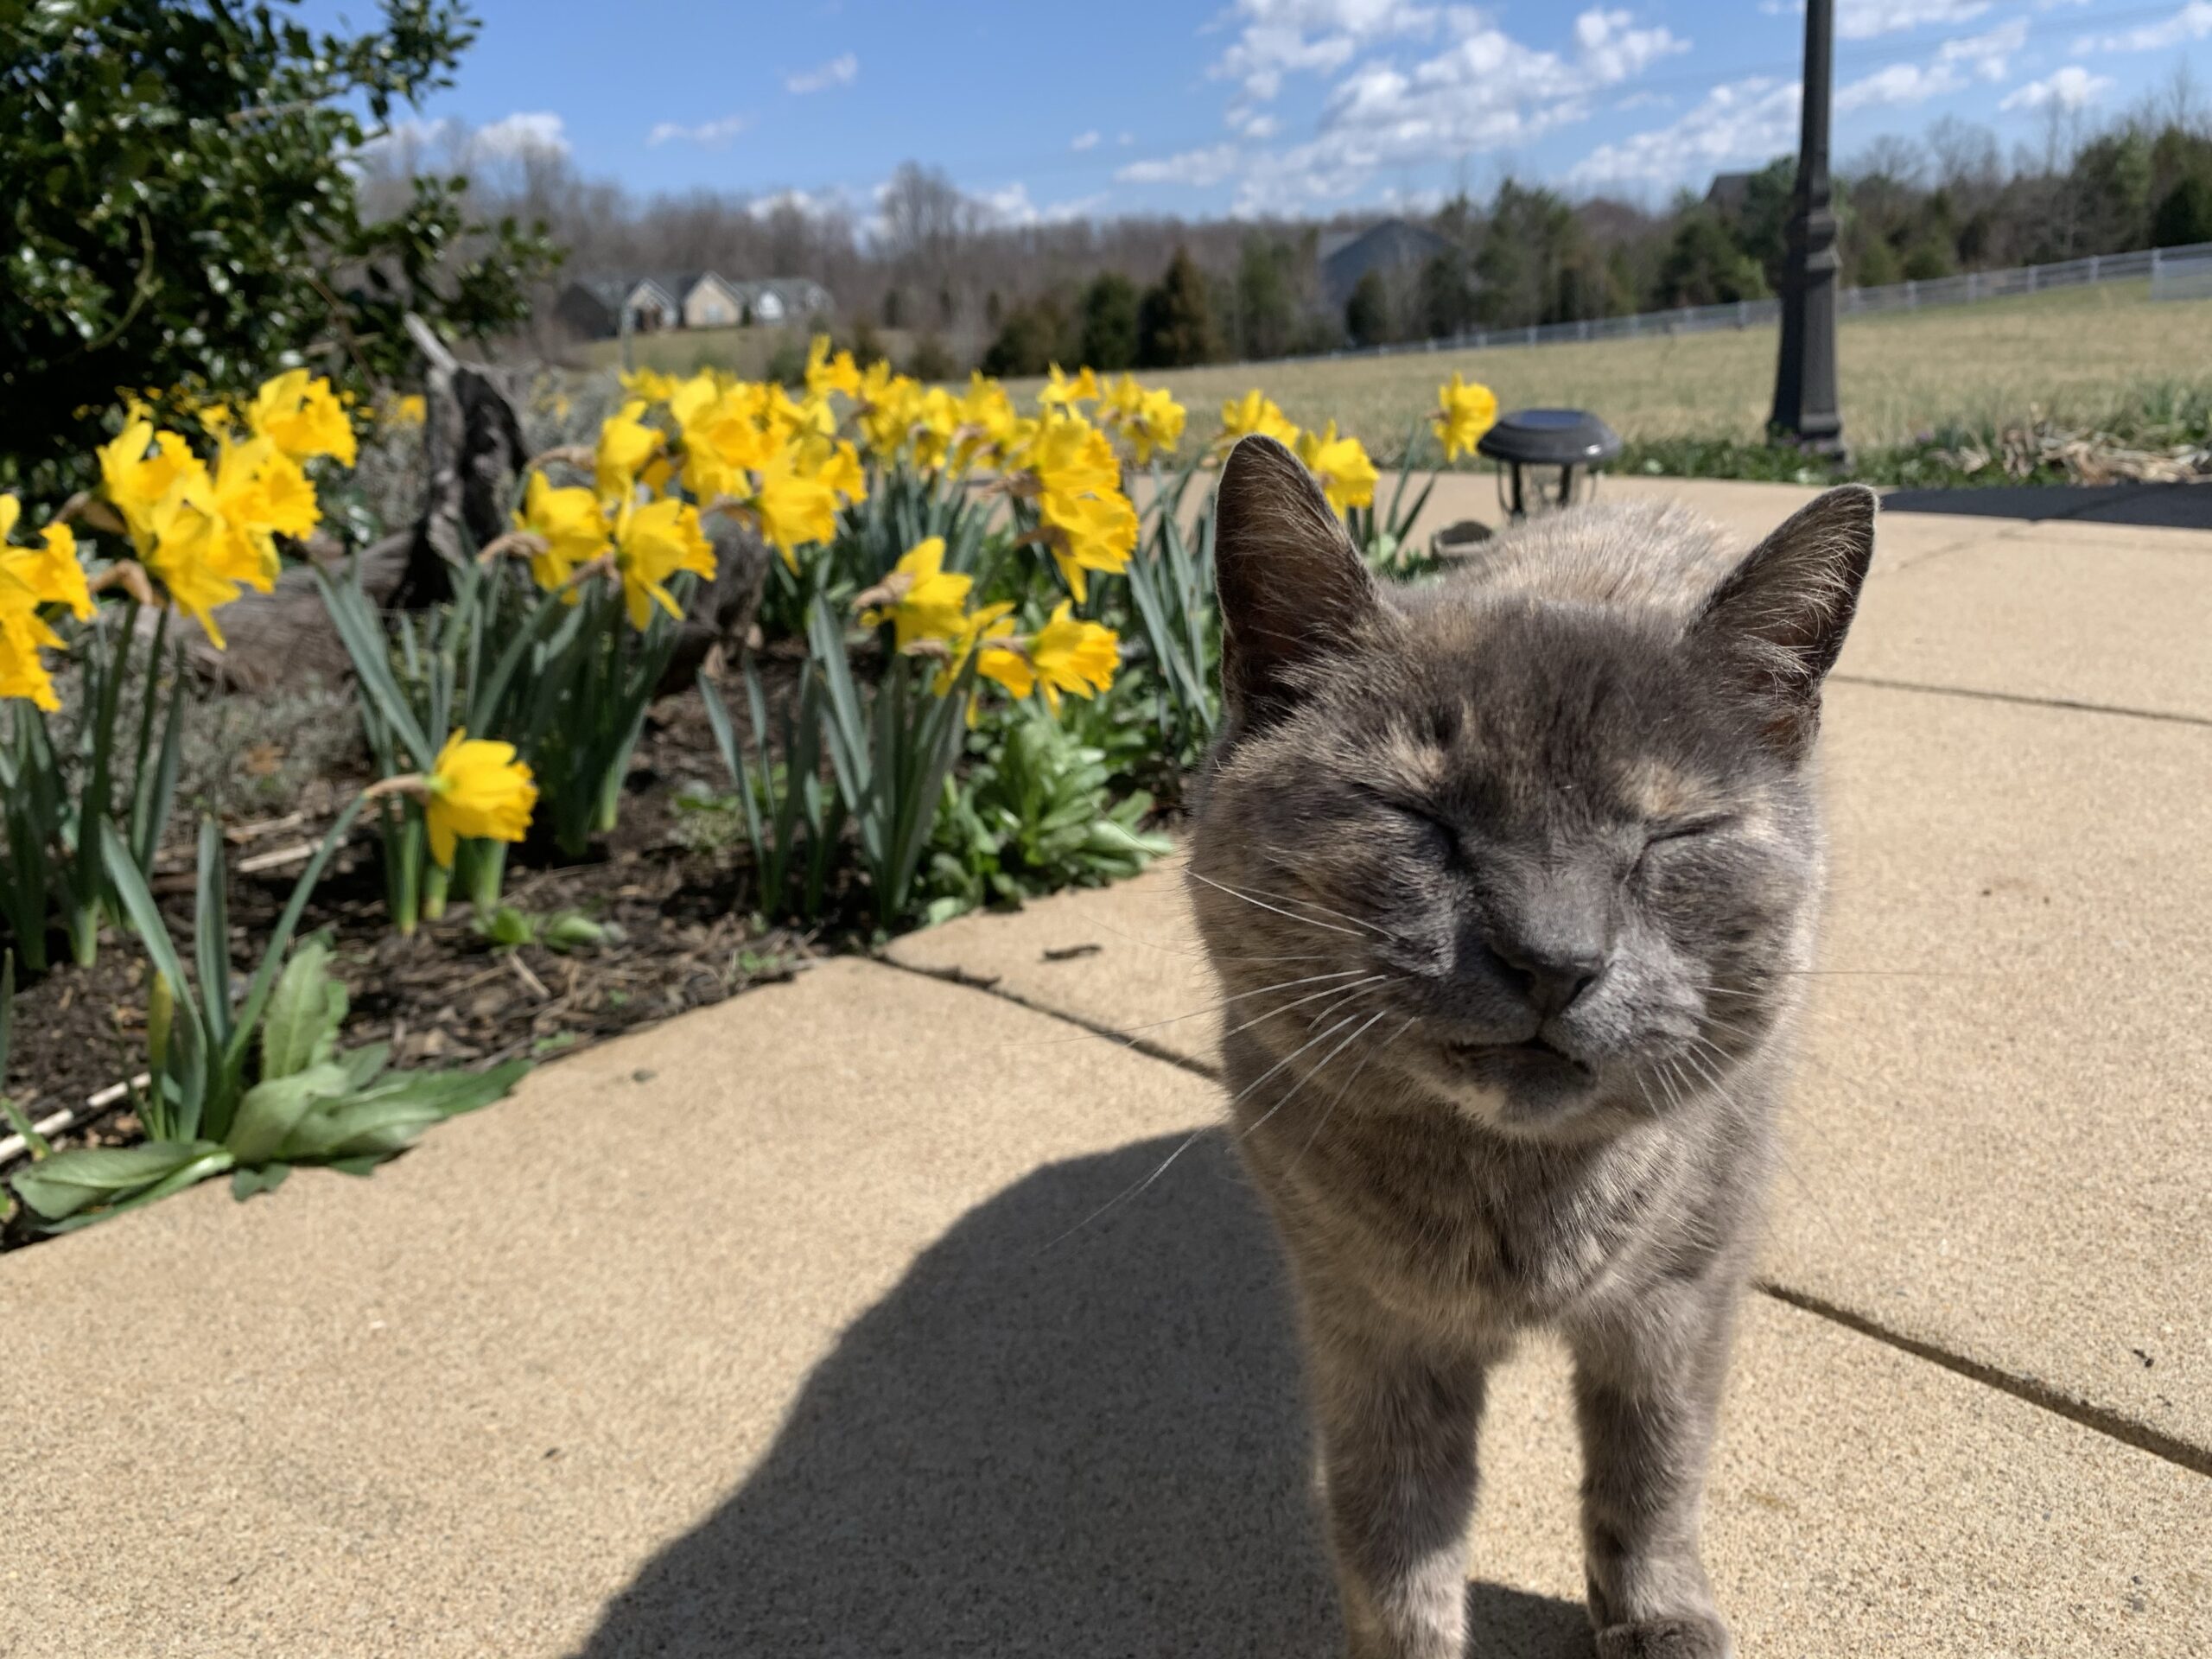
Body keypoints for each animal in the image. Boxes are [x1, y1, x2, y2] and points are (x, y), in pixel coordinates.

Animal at [1185, 437, 1875, 1659]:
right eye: (1419, 820)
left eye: (1669, 835)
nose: (1554, 959)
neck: (1512, 1195)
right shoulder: (1363, 1323)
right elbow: (1389, 1530)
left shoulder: (1679, 1299)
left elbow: (1654, 1470)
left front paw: (1657, 1617)